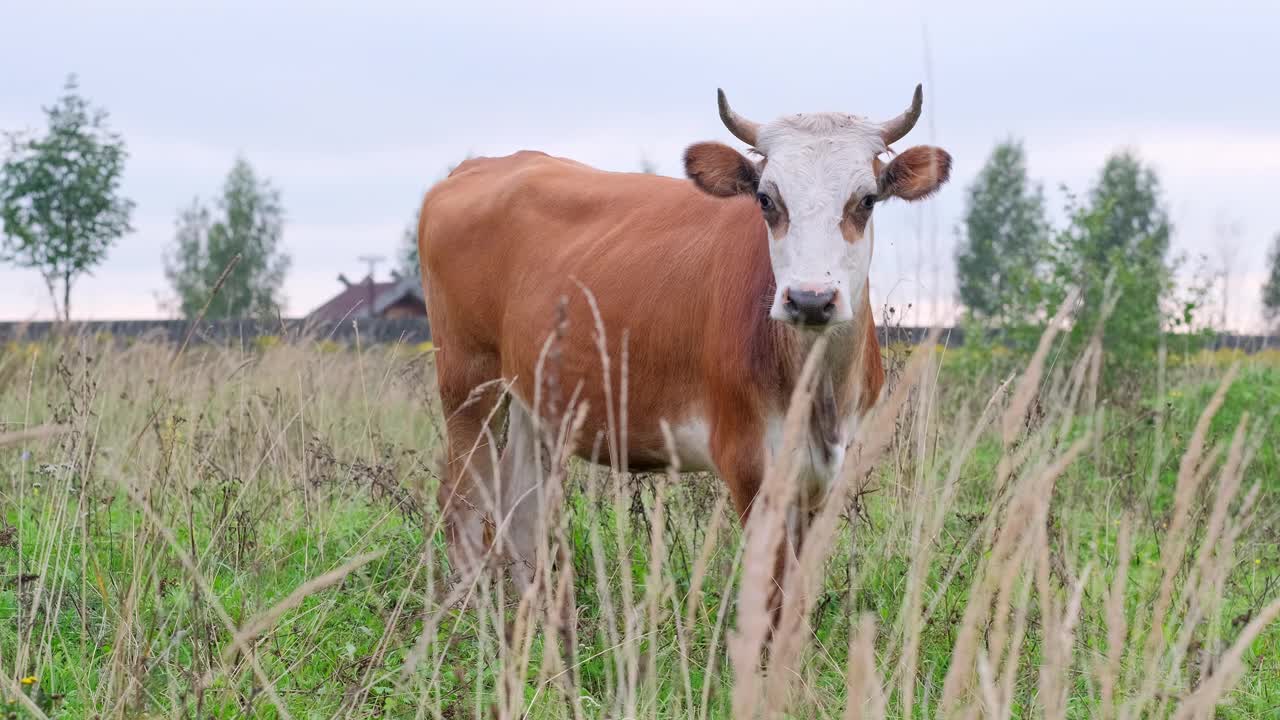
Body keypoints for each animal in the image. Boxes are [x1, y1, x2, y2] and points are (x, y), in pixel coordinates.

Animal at [419, 85, 952, 589]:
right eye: (766, 199)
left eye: (867, 199)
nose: (810, 299)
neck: (817, 385)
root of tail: (483, 165)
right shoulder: (750, 464)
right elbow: (771, 592)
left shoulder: (828, 475)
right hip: (468, 383)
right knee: (463, 501)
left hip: (536, 399)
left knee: (521, 510)